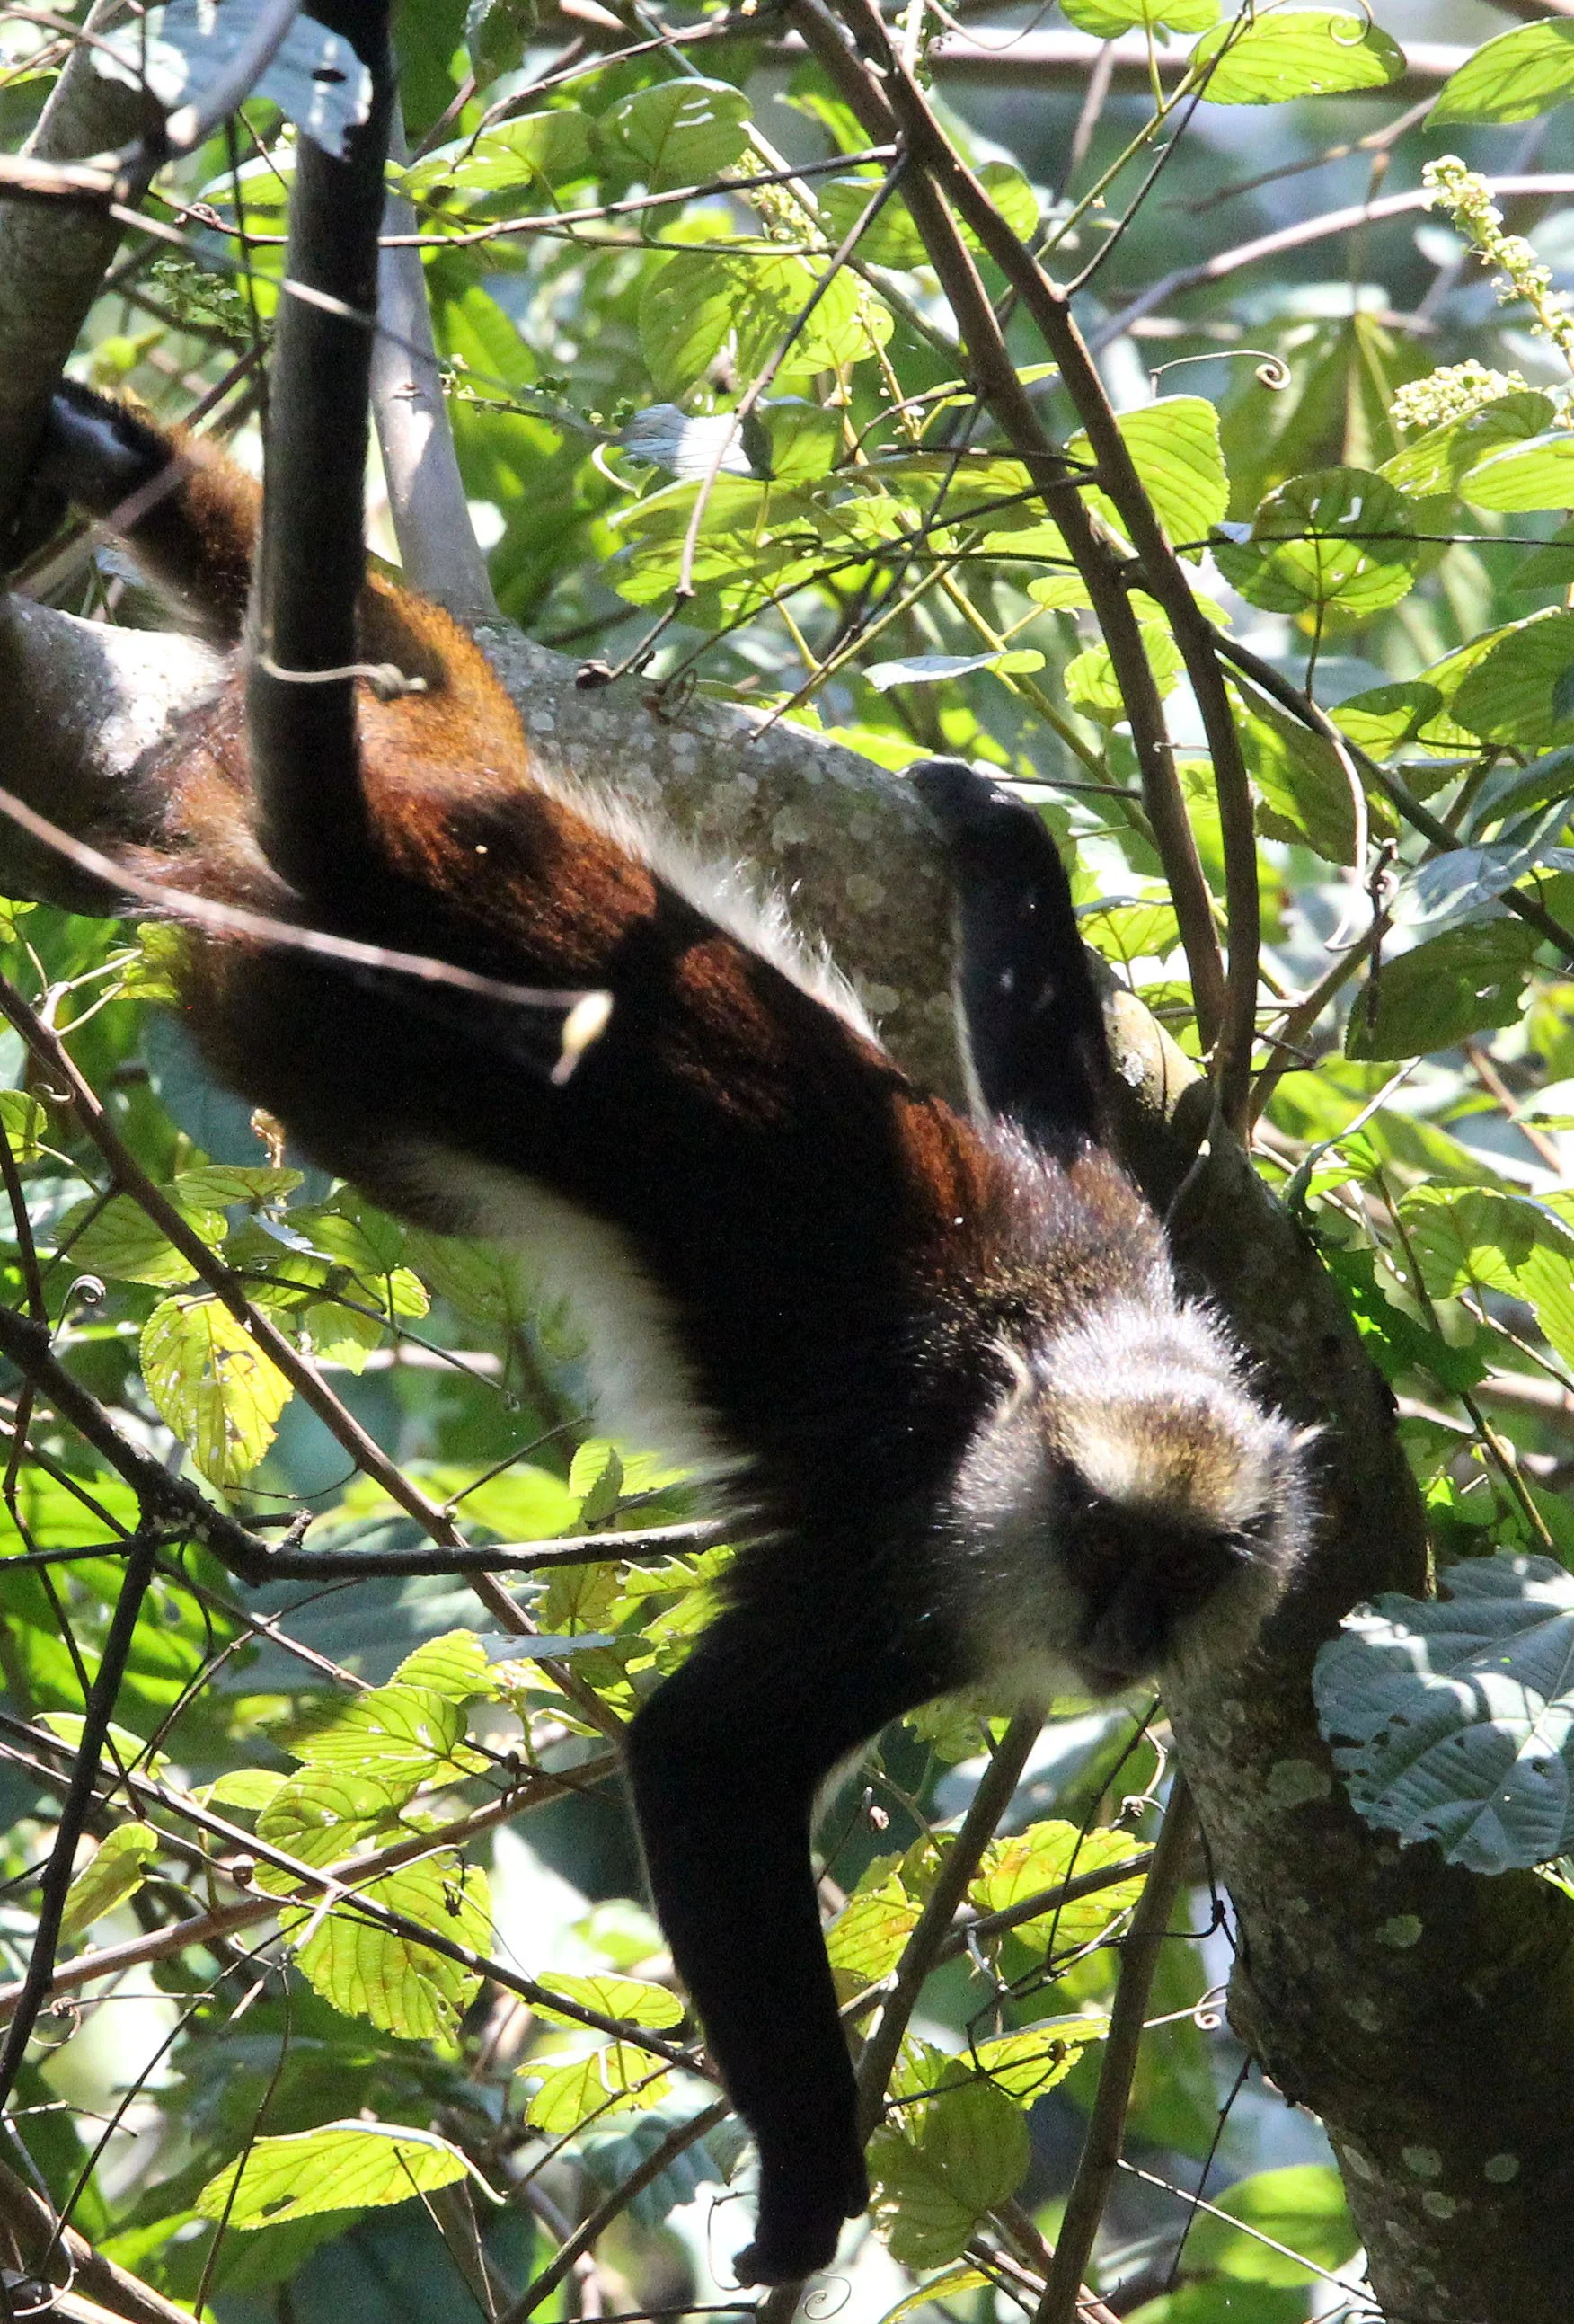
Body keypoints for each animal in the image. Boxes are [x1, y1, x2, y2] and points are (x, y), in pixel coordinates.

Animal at [0, 15, 1312, 2287]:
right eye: (1099, 1557)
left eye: (1186, 1573)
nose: (1128, 1645)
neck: (1054, 1362)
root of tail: (398, 850)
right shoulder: (906, 1566)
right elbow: (696, 1763)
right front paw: (805, 2192)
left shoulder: (1115, 1229)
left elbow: (1045, 1082)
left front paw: (988, 832)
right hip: (296, 996)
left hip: (441, 756)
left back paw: (116, 462)